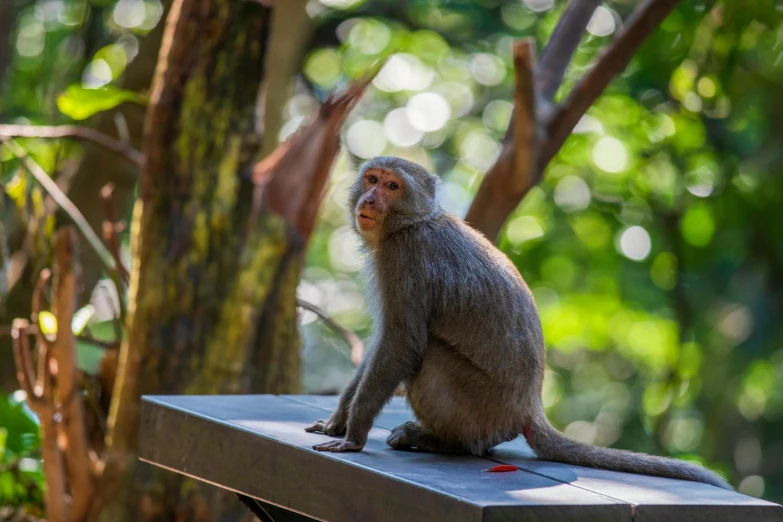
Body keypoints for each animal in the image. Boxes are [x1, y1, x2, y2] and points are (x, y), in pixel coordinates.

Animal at [304, 154, 732, 488]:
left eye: (393, 186)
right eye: (372, 179)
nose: (370, 198)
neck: (411, 223)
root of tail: (529, 408)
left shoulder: (404, 259)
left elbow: (400, 344)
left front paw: (353, 437)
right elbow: (382, 346)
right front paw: (337, 422)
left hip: (484, 408)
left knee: (433, 361)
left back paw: (445, 442)